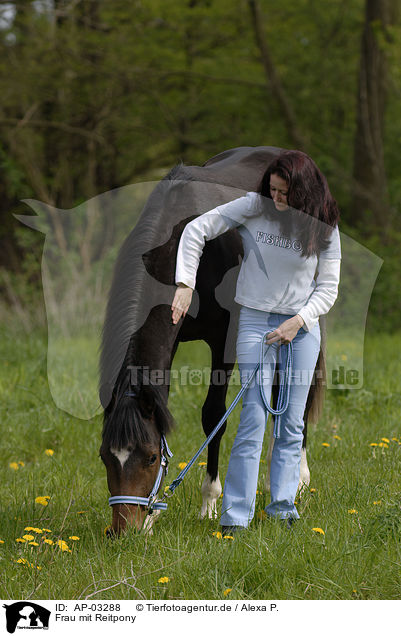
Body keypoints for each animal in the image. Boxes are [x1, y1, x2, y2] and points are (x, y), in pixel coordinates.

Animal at [99, 147, 324, 536]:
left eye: (151, 457)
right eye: (104, 457)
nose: (123, 531)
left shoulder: (226, 340)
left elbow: (214, 416)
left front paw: (208, 502)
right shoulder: (171, 341)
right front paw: (153, 517)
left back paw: (297, 480)